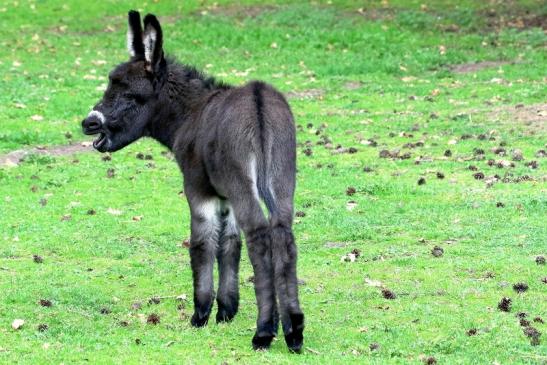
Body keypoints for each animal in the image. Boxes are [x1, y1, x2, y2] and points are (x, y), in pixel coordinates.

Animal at [81, 10, 304, 352]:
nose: (89, 123)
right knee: (283, 236)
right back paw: (294, 332)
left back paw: (264, 331)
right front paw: (226, 311)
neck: (190, 114)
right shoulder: (225, 198)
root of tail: (259, 99)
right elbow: (229, 245)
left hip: (244, 186)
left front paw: (201, 314)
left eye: (131, 95)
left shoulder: (198, 192)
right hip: (281, 181)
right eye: (110, 86)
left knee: (259, 237)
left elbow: (202, 244)